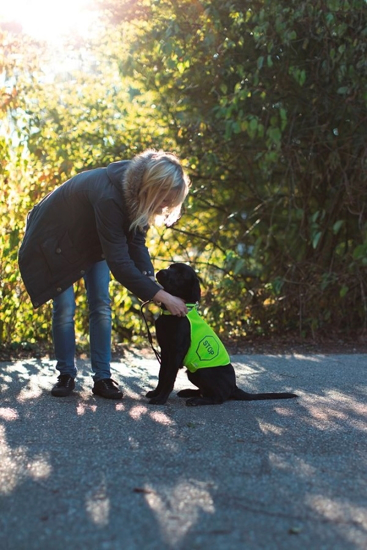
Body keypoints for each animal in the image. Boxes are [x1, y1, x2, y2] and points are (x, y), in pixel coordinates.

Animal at [145, 266, 298, 408]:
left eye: (181, 274)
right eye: (171, 267)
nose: (160, 272)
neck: (170, 313)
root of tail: (234, 387)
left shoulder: (176, 353)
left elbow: (169, 377)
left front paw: (161, 399)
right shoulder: (165, 351)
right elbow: (162, 374)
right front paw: (155, 393)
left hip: (203, 371)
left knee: (218, 398)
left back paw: (196, 400)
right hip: (193, 372)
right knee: (207, 391)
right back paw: (188, 392)